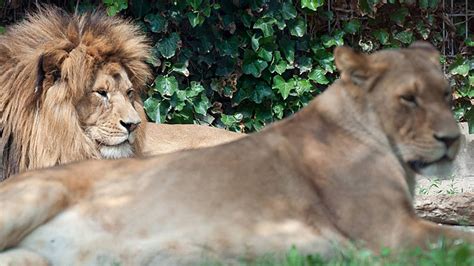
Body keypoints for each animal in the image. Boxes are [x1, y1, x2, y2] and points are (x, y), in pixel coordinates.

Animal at [0, 42, 470, 264]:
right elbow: (463, 239)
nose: (453, 140)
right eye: (408, 98)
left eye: (447, 95)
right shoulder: (390, 235)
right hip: (35, 196)